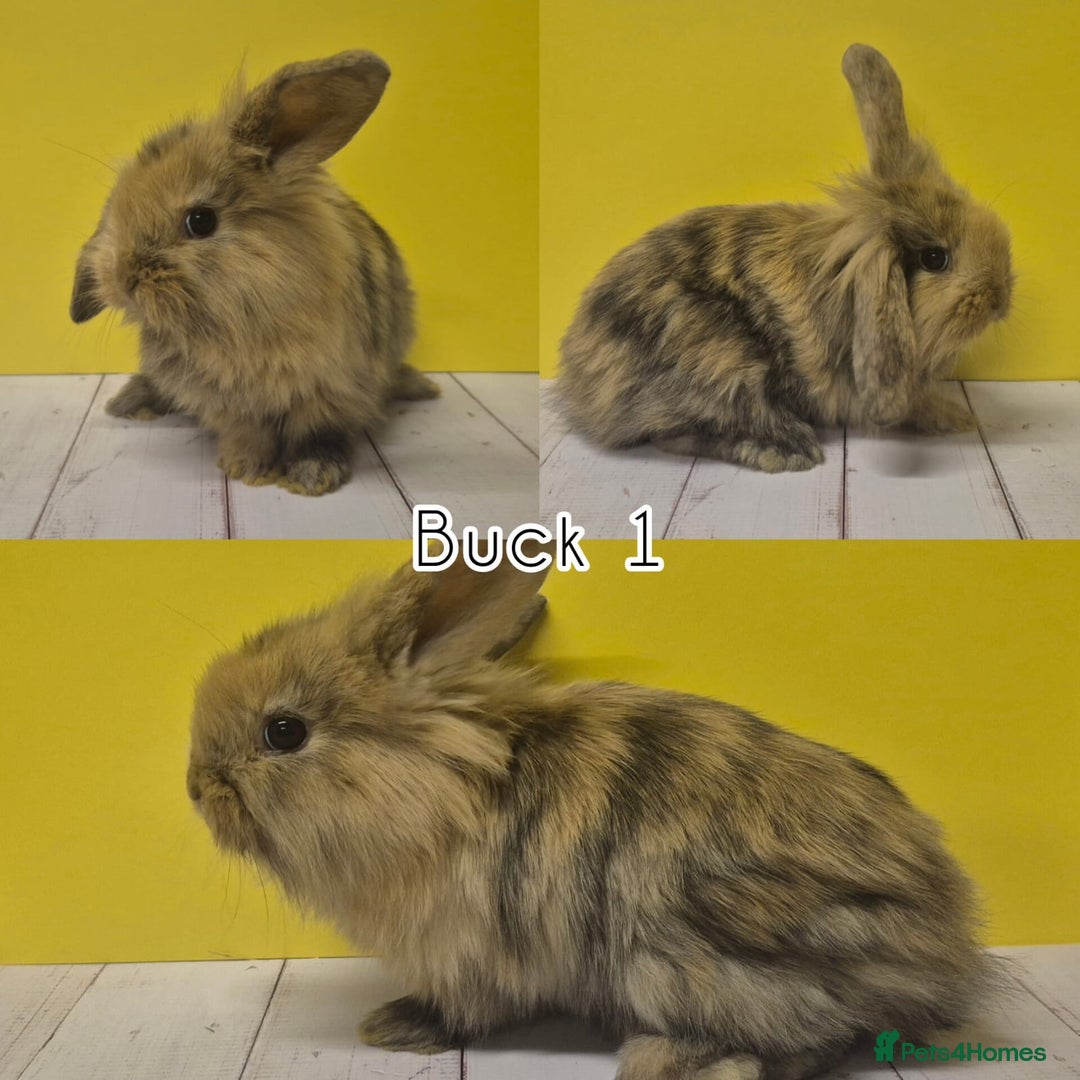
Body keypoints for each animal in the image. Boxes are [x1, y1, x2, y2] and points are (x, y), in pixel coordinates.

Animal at [70, 51, 438, 496]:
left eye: (201, 220)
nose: (121, 278)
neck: (239, 327)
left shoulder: (332, 389)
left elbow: (317, 432)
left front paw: (312, 476)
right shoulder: (230, 402)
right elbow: (248, 433)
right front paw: (245, 469)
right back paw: (128, 401)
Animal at [187, 555, 993, 1080]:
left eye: (284, 732)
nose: (196, 788)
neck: (439, 792)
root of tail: (945, 941)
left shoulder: (469, 958)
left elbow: (465, 1011)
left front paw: (394, 1026)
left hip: (690, 965)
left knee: (816, 1037)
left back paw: (674, 1063)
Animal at [557, 44, 1014, 472]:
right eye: (936, 258)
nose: (1001, 296)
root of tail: (579, 387)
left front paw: (962, 417)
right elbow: (909, 405)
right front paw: (958, 418)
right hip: (721, 364)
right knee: (676, 433)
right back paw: (787, 449)